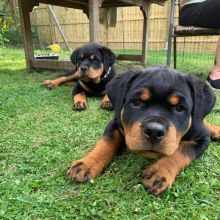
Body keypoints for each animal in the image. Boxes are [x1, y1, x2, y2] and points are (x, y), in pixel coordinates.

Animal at [67, 66, 220, 195]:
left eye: (179, 108)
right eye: (136, 102)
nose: (154, 132)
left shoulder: (202, 138)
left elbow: (181, 150)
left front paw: (159, 173)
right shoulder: (115, 123)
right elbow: (105, 143)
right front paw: (86, 164)